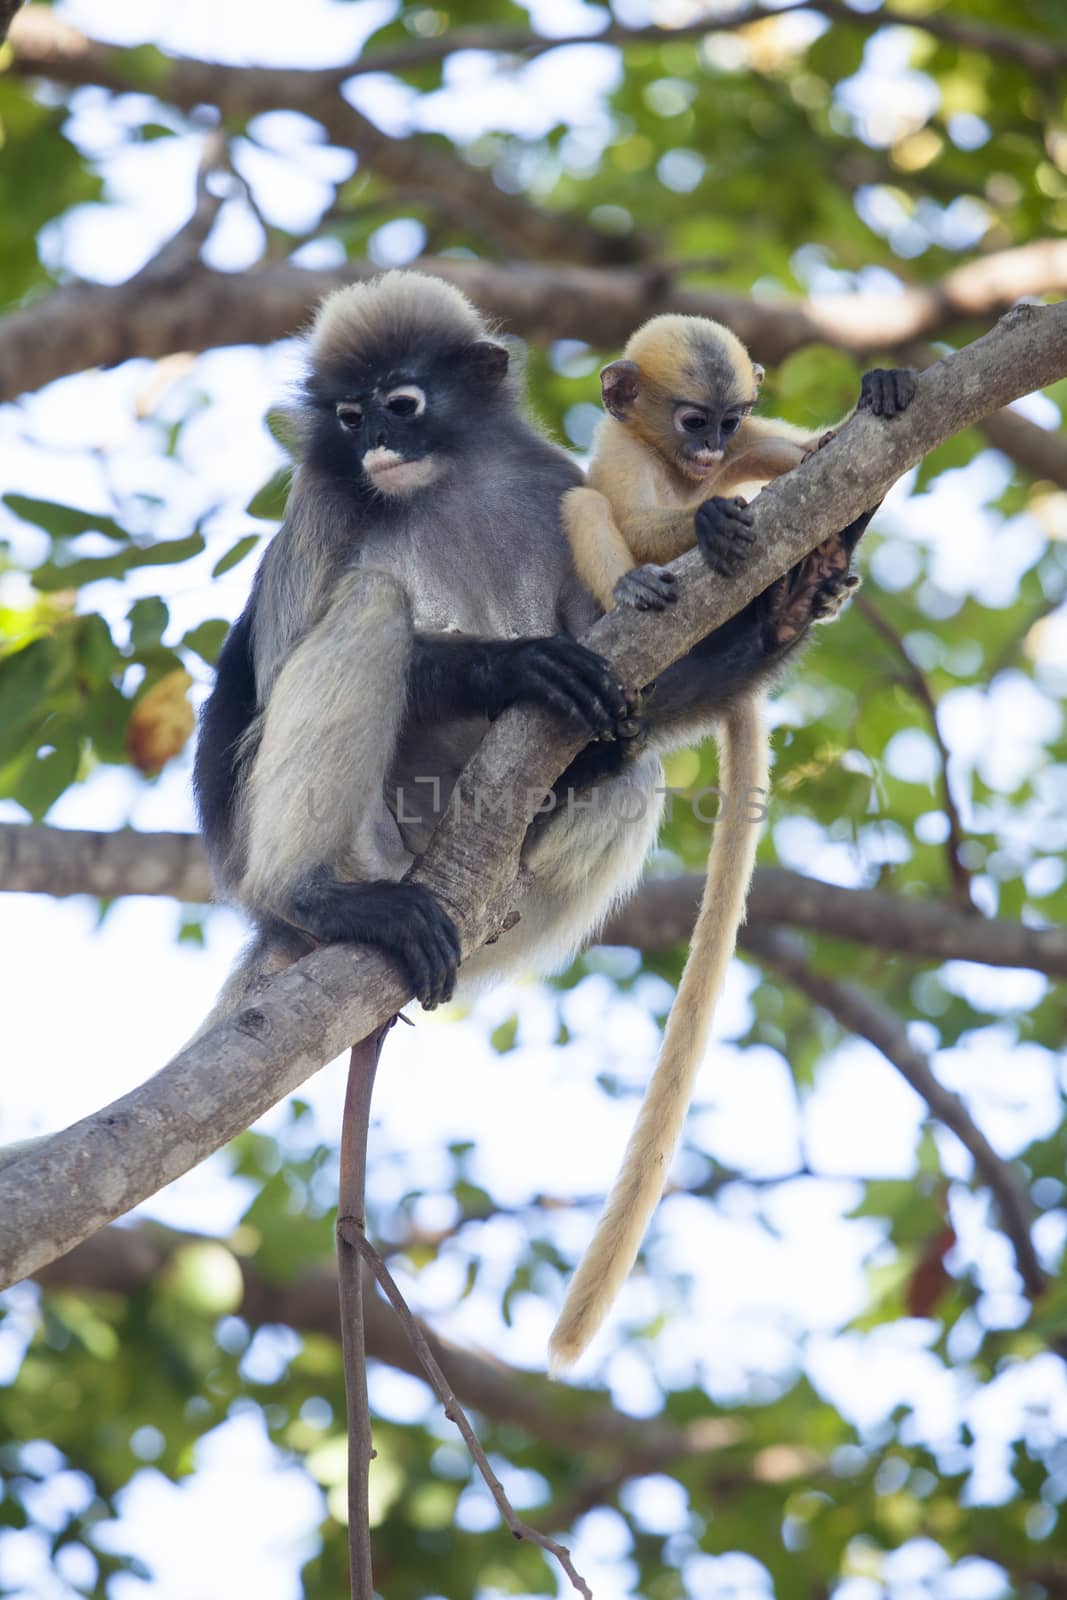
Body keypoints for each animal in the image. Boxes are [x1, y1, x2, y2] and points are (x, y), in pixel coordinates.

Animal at [550, 318, 921, 1369]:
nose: (714, 457)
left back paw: (806, 590)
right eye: (691, 422)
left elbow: (819, 460)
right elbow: (615, 504)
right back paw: (644, 600)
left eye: (729, 419)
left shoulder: (763, 446)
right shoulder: (622, 448)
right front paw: (701, 530)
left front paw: (880, 391)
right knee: (582, 507)